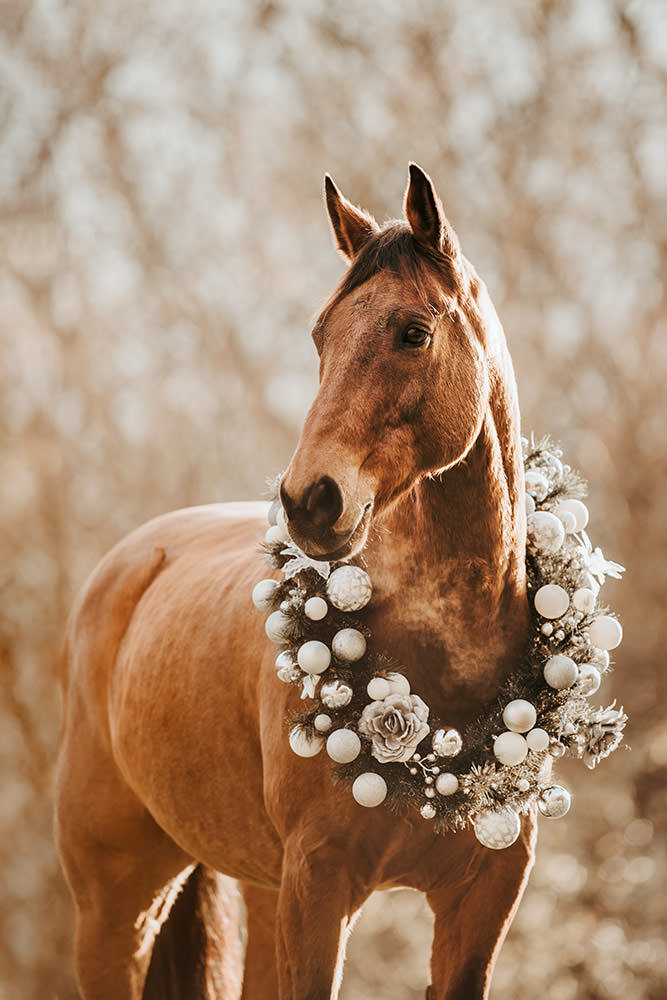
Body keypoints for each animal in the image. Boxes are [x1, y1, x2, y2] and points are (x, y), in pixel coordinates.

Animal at [55, 163, 536, 1000]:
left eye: (413, 331)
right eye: (320, 335)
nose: (311, 499)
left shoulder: (481, 899)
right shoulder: (319, 887)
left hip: (257, 889)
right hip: (117, 909)